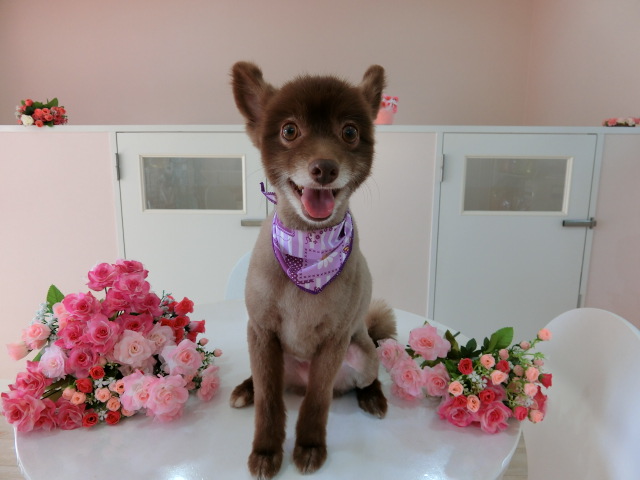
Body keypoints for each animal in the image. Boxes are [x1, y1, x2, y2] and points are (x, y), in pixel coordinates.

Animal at [229, 61, 397, 479]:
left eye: (349, 132)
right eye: (289, 131)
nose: (324, 168)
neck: (307, 247)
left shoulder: (333, 342)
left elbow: (318, 401)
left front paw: (308, 445)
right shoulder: (261, 331)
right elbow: (269, 402)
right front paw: (266, 450)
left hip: (362, 353)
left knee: (365, 376)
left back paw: (374, 398)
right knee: (265, 383)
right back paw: (245, 388)